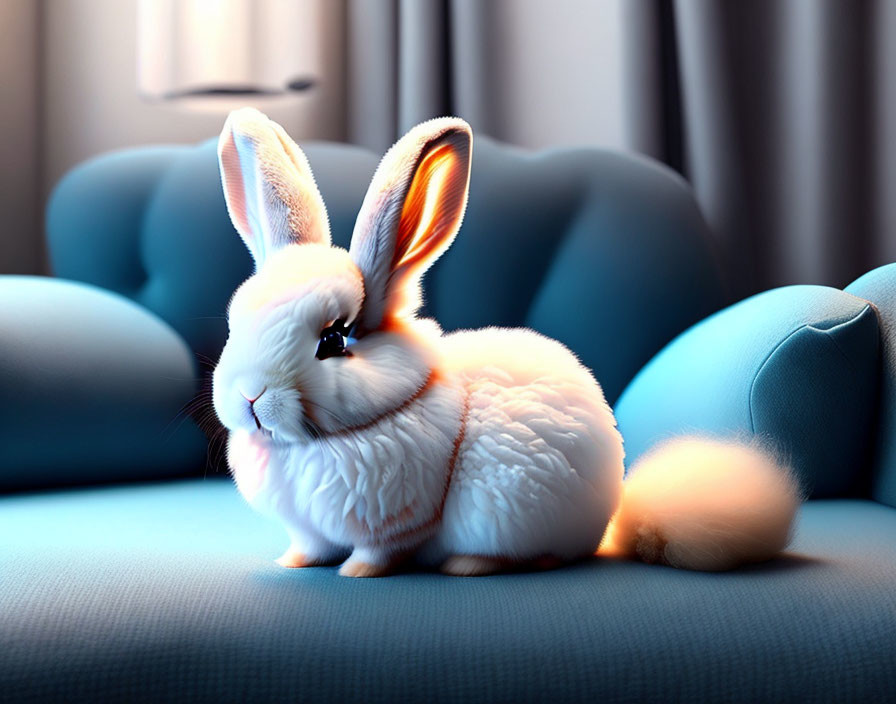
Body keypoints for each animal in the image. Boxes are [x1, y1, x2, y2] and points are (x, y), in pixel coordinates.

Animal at [212, 106, 800, 576]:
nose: (250, 397)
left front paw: (356, 573)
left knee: (548, 556)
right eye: (236, 324)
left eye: (334, 339)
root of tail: (612, 517)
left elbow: (379, 552)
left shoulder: (397, 523)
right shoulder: (308, 527)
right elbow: (310, 546)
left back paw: (468, 565)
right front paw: (292, 563)